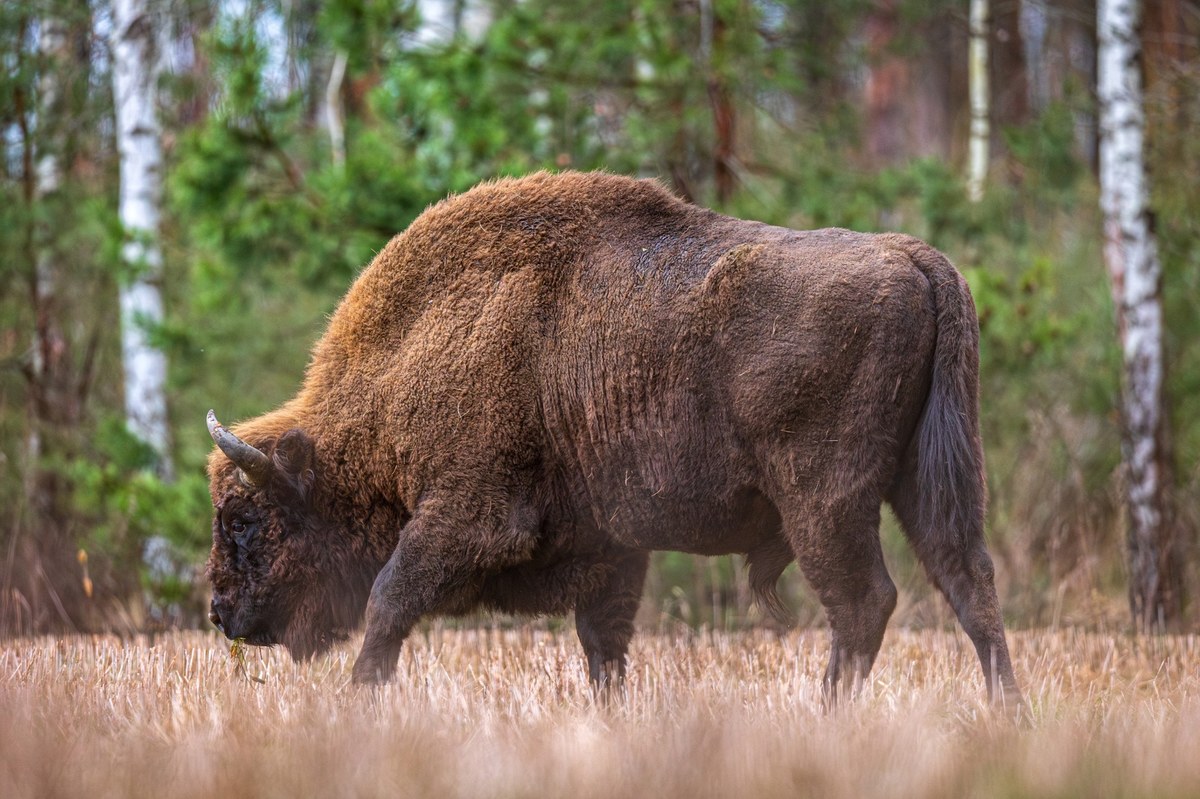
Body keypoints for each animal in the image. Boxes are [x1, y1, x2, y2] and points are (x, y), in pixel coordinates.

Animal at [206, 169, 1022, 705]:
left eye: (245, 519)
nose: (219, 611)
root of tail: (912, 257)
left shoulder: (466, 515)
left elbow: (390, 599)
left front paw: (357, 703)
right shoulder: (608, 550)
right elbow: (604, 644)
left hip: (824, 501)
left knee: (864, 603)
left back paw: (828, 716)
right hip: (928, 479)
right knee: (968, 581)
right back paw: (1008, 714)